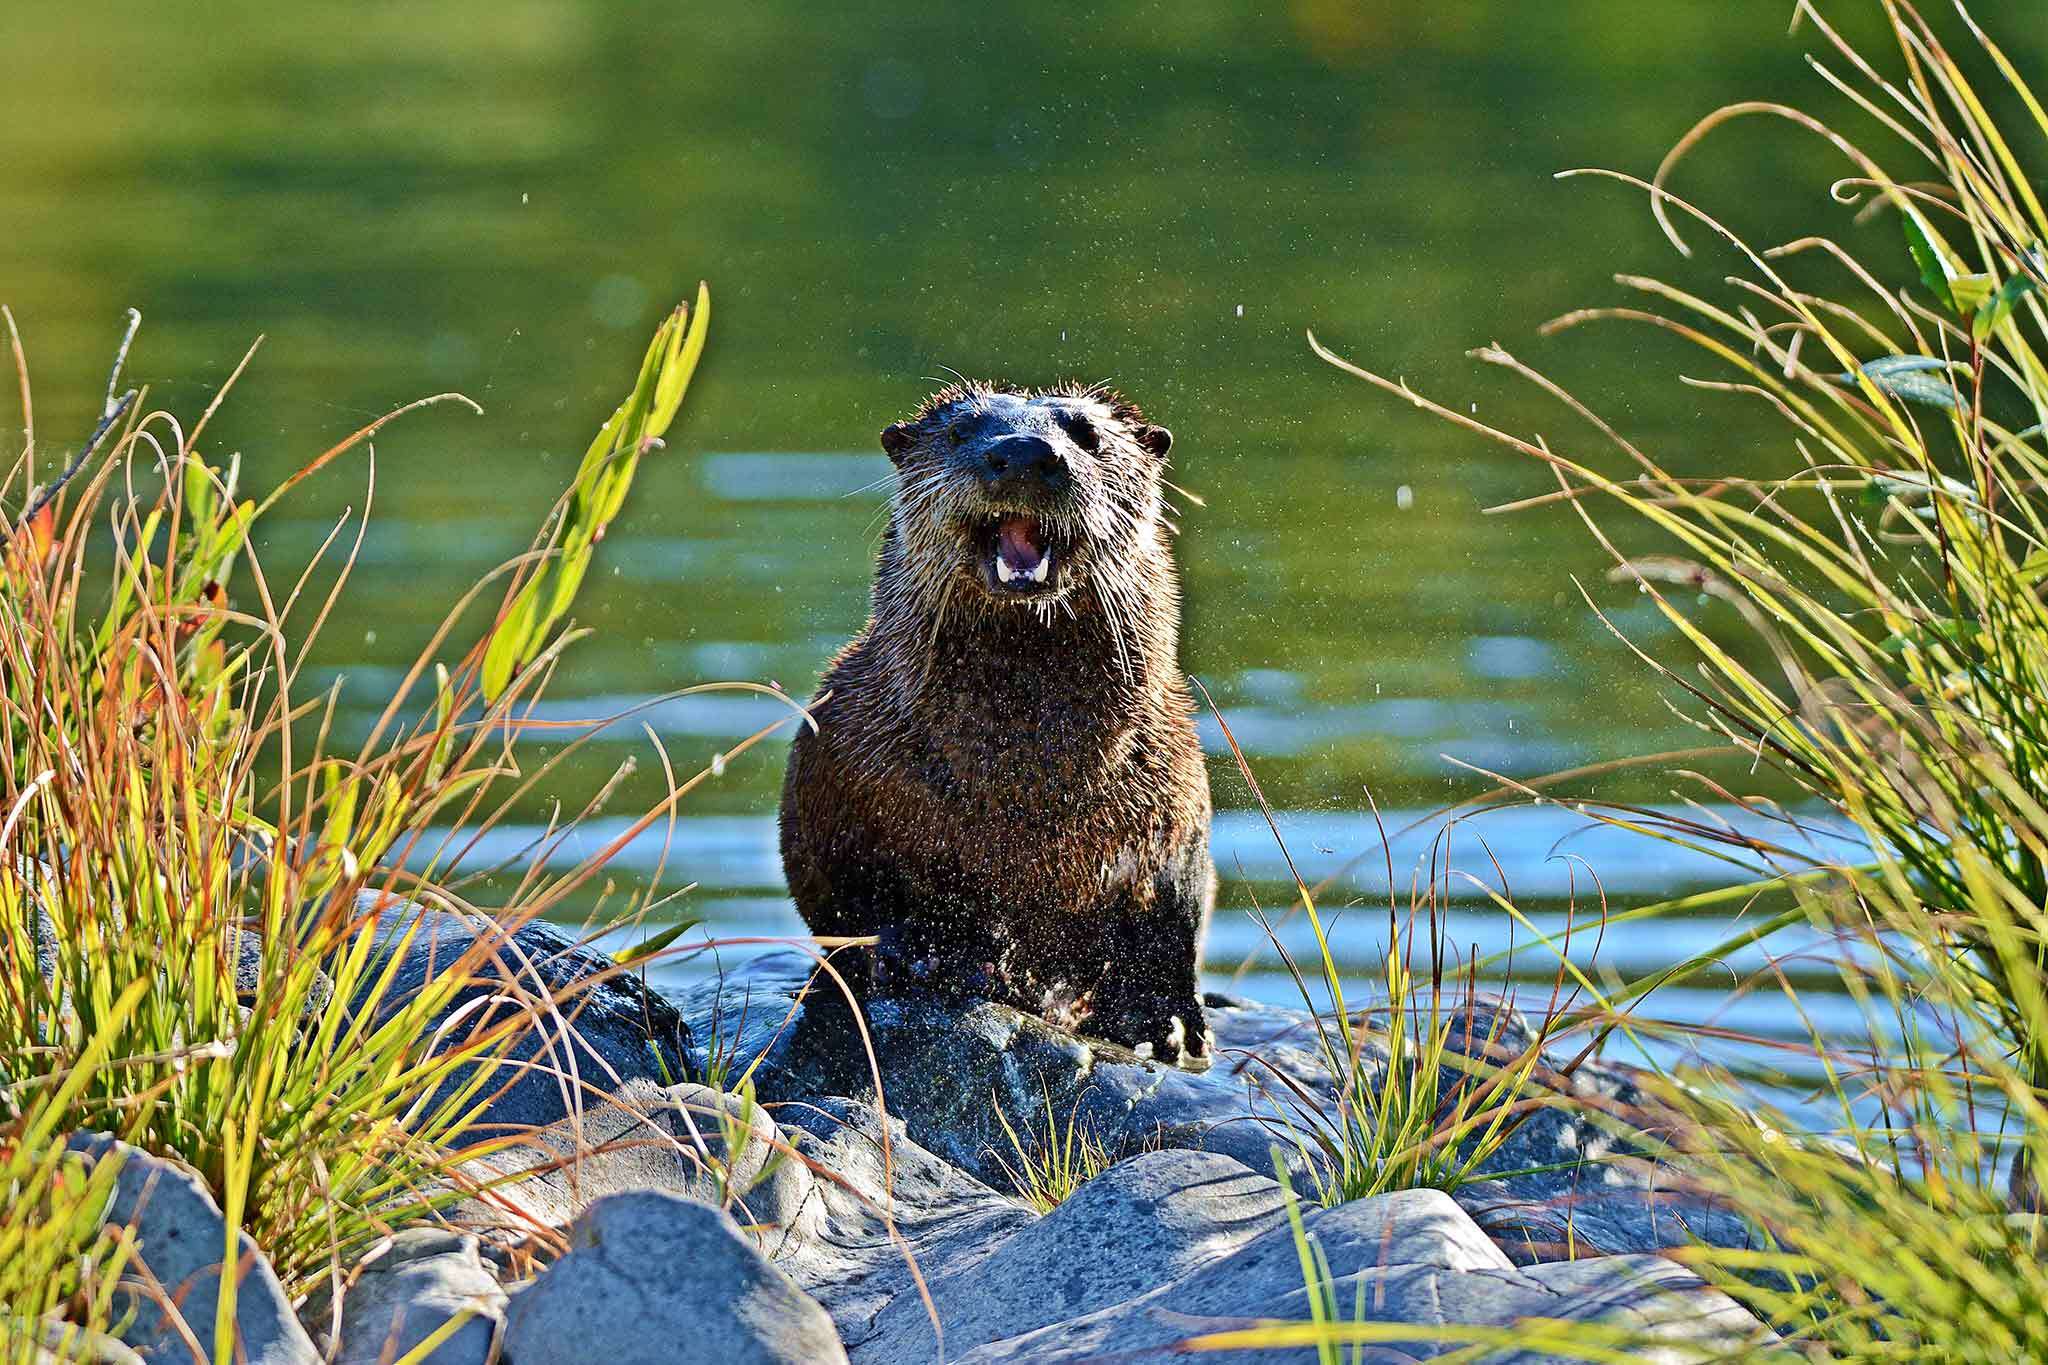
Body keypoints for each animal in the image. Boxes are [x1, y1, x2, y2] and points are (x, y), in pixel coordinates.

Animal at [778, 380, 1215, 1062]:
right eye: (963, 430)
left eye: (1087, 433)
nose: (1025, 452)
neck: (1020, 785)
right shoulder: (835, 768)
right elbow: (848, 899)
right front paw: (920, 954)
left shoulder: (1176, 799)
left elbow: (1173, 920)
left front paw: (1161, 1018)